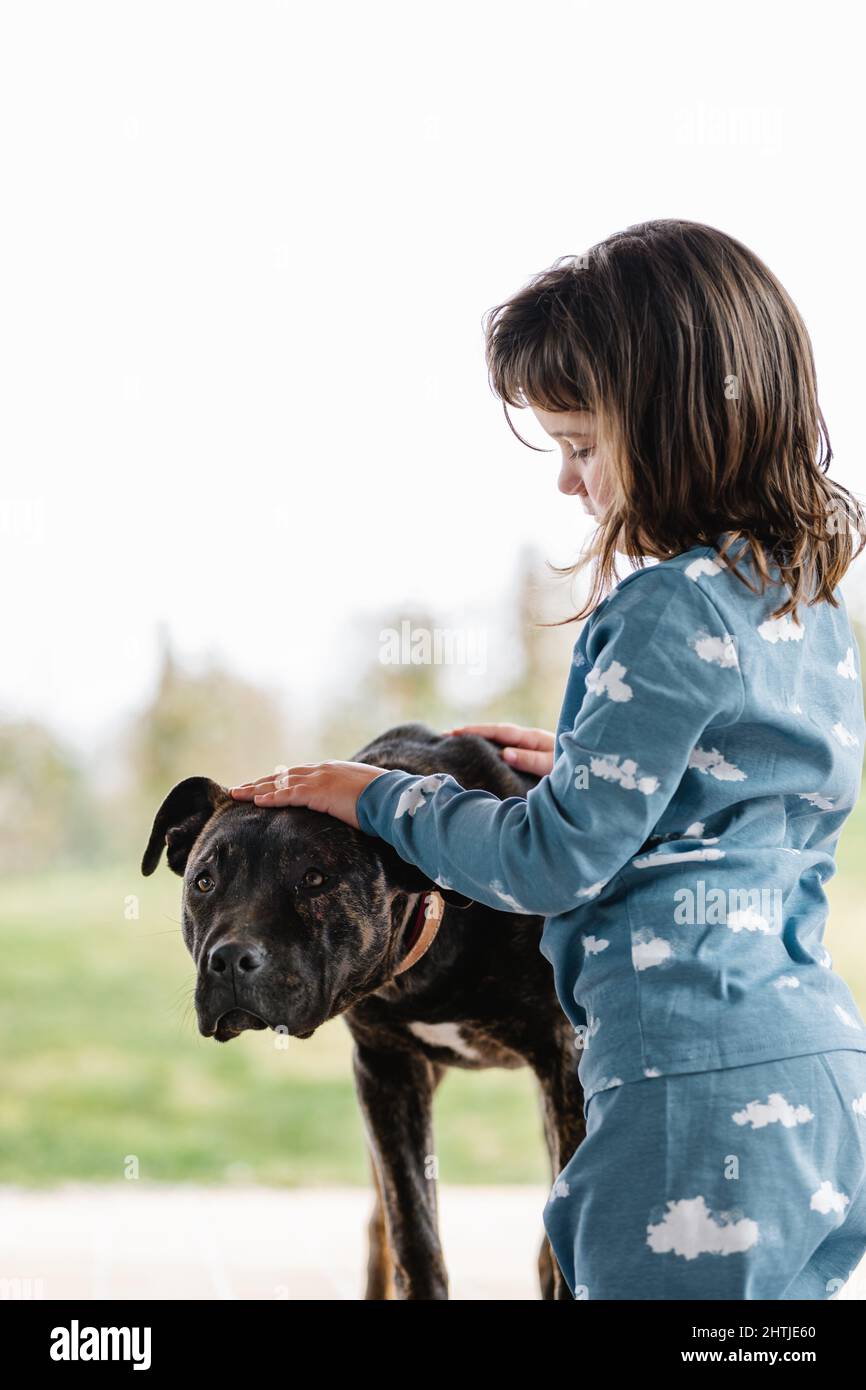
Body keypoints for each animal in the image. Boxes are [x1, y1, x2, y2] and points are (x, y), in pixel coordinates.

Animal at [142, 722, 586, 1295]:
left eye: (314, 880)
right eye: (204, 883)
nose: (230, 960)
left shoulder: (565, 1063)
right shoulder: (386, 1072)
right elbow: (412, 1231)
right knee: (379, 1224)